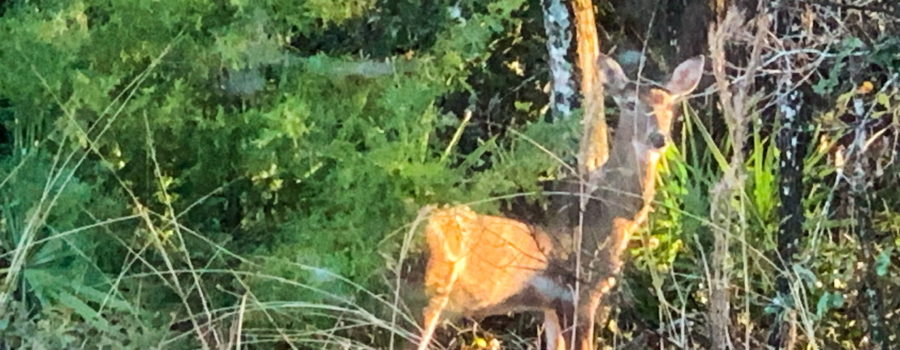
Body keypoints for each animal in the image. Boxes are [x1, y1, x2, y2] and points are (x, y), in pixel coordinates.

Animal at [418, 54, 708, 350]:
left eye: (671, 106)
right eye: (630, 103)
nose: (658, 138)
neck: (605, 214)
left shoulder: (551, 303)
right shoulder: (580, 290)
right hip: (424, 294)